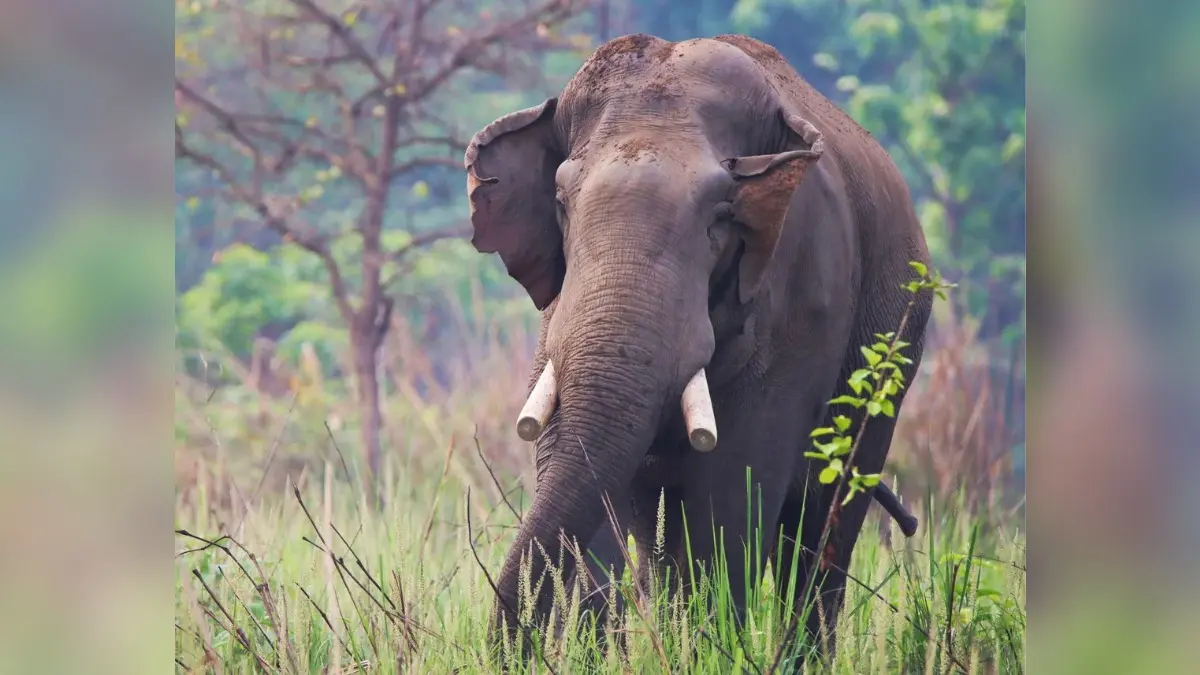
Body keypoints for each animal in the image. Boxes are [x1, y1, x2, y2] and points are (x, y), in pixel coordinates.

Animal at [464, 33, 933, 656]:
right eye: (561, 202)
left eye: (721, 215)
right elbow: (580, 463)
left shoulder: (805, 294)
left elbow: (735, 482)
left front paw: (706, 649)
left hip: (891, 359)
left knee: (822, 530)